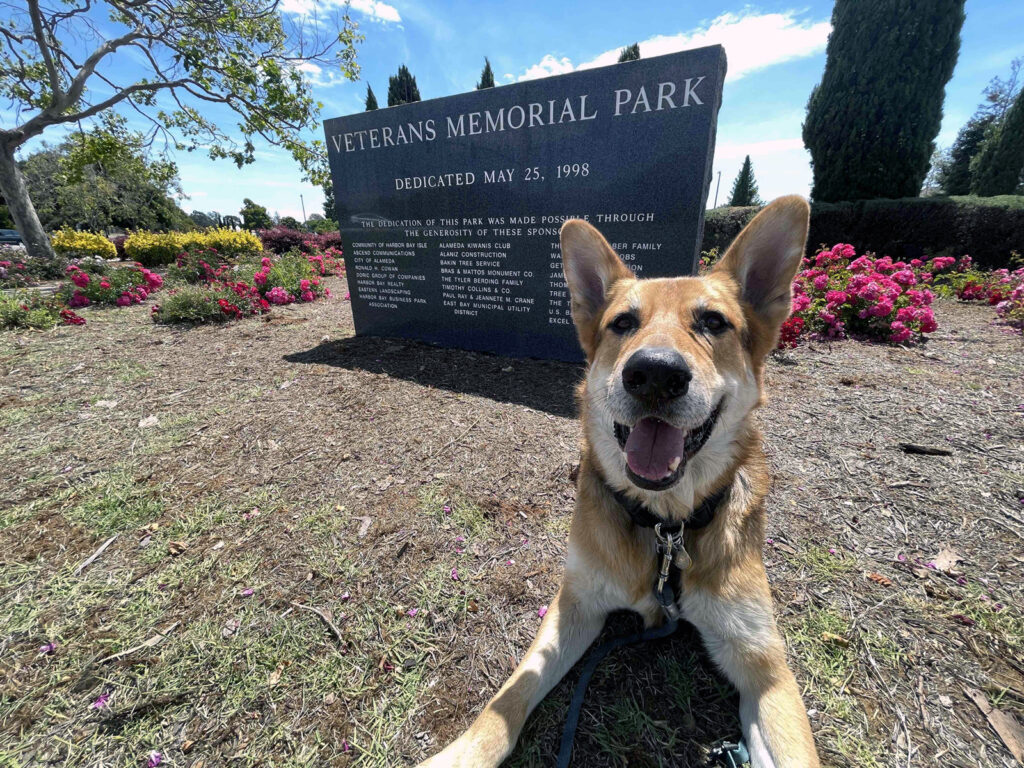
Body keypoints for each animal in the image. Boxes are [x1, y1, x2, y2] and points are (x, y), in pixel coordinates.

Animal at [419, 198, 819, 768]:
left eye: (713, 322)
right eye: (623, 322)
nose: (655, 373)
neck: (665, 528)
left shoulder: (764, 666)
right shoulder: (575, 605)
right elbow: (511, 695)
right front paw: (464, 753)